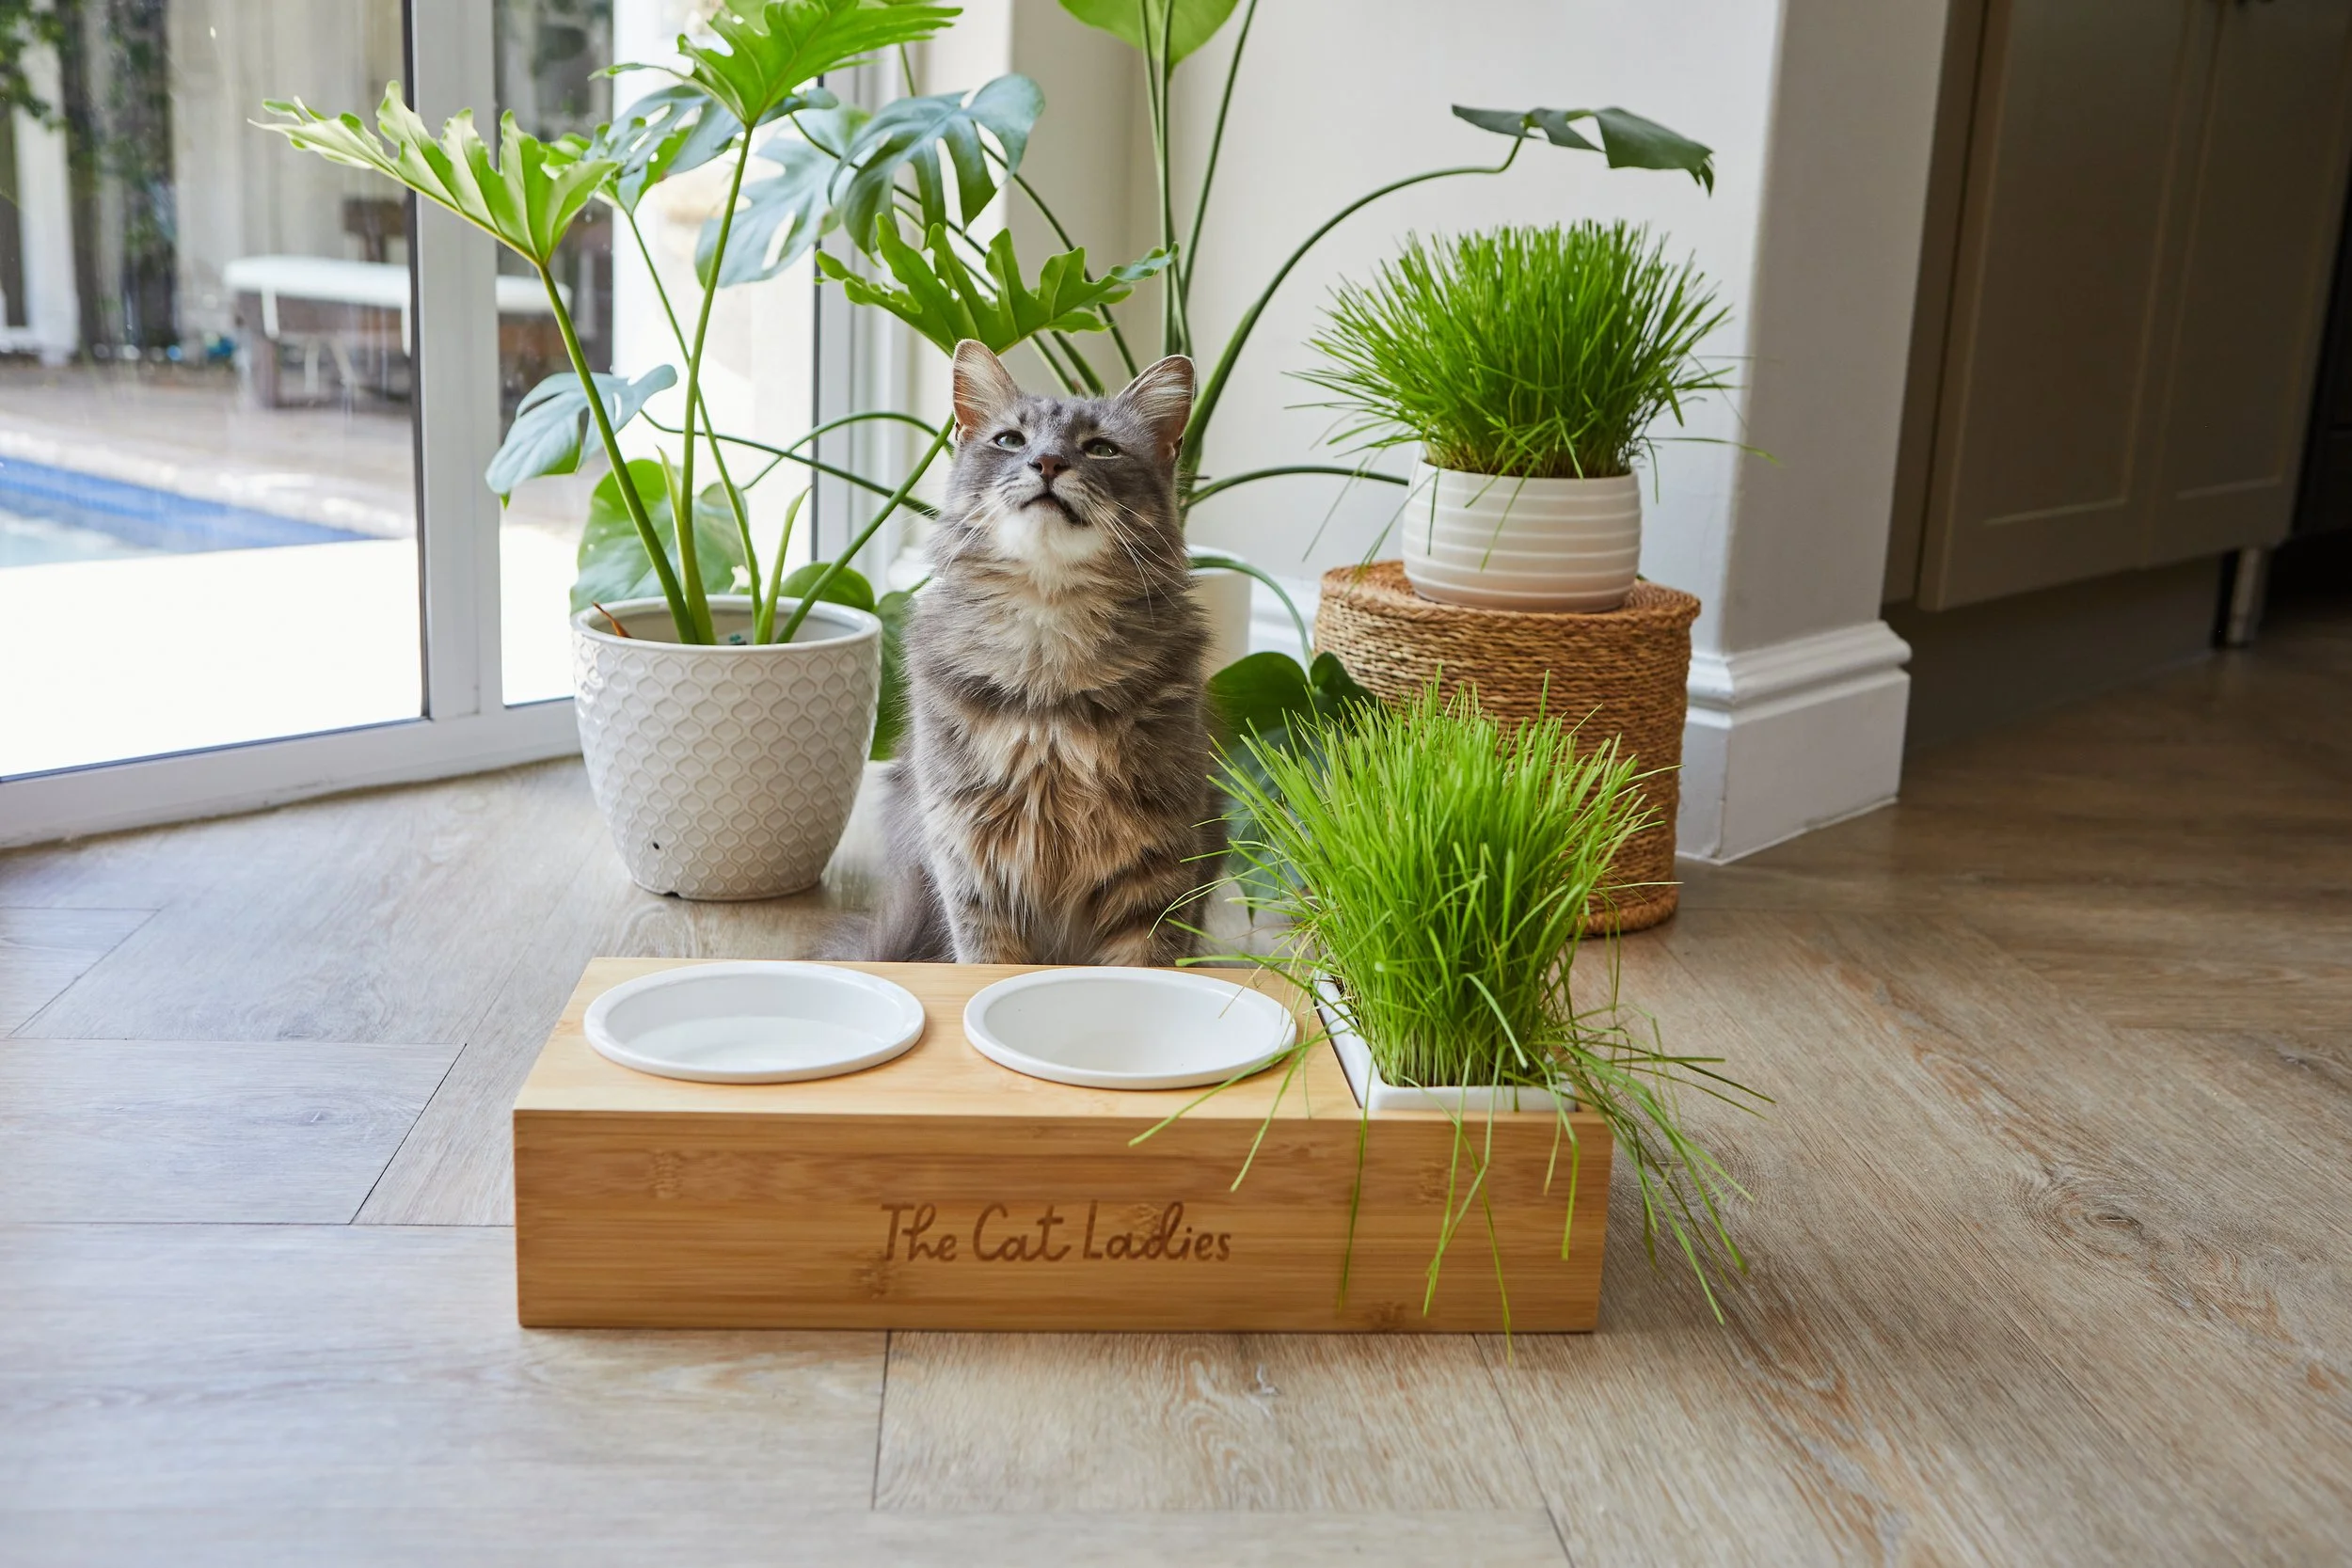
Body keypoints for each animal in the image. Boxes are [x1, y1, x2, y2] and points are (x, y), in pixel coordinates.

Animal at [862, 339, 1214, 966]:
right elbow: (987, 966)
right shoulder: (972, 861)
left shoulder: (1158, 863)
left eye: (1101, 449)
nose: (1047, 463)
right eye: (1010, 441)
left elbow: (1152, 962)